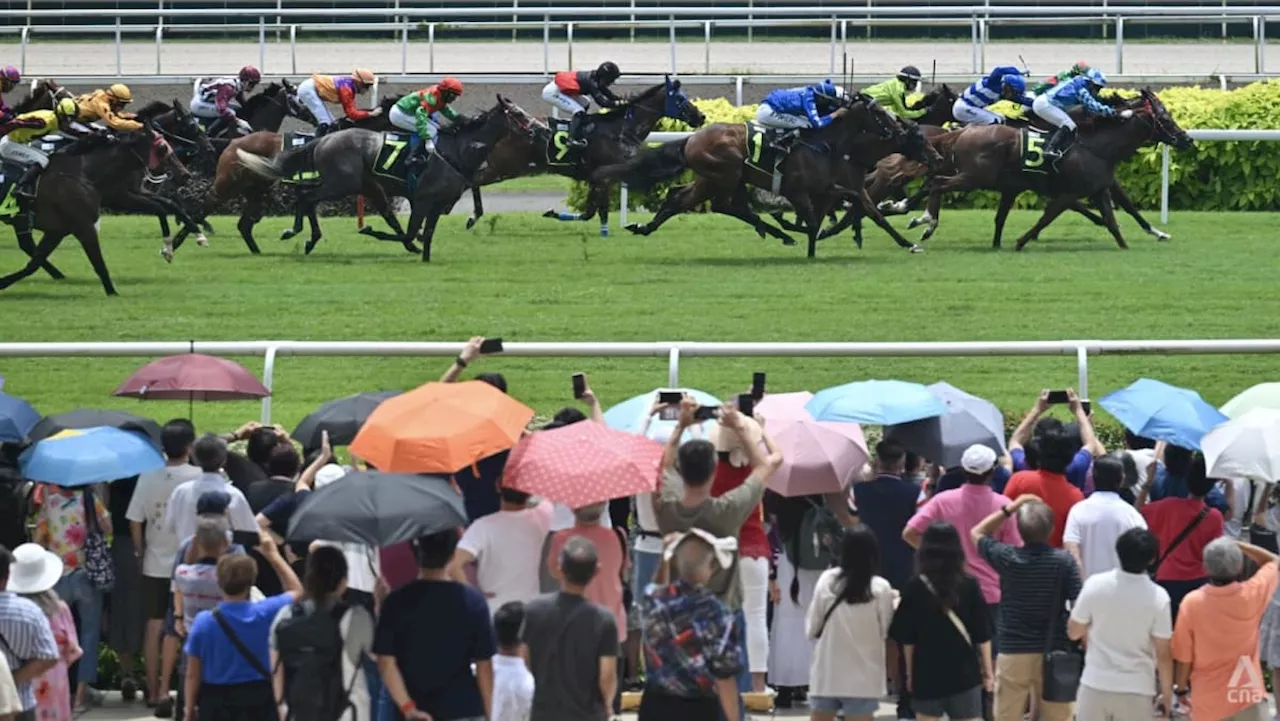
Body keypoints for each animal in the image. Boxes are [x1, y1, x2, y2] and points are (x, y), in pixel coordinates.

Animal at [465, 77, 706, 238]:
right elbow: (595, 211)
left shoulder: (598, 179)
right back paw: (473, 216)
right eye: (680, 98)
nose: (701, 116)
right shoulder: (605, 177)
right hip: (504, 166)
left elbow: (592, 212)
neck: (621, 129)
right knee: (473, 180)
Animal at [916, 89, 1192, 251]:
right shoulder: (1068, 193)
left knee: (935, 182)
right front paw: (1021, 242)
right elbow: (1047, 217)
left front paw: (1138, 240)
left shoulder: (1098, 188)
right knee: (937, 183)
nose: (1186, 139)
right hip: (974, 176)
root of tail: (962, 131)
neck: (1095, 146)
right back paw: (926, 221)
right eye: (1165, 118)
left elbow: (1116, 219)